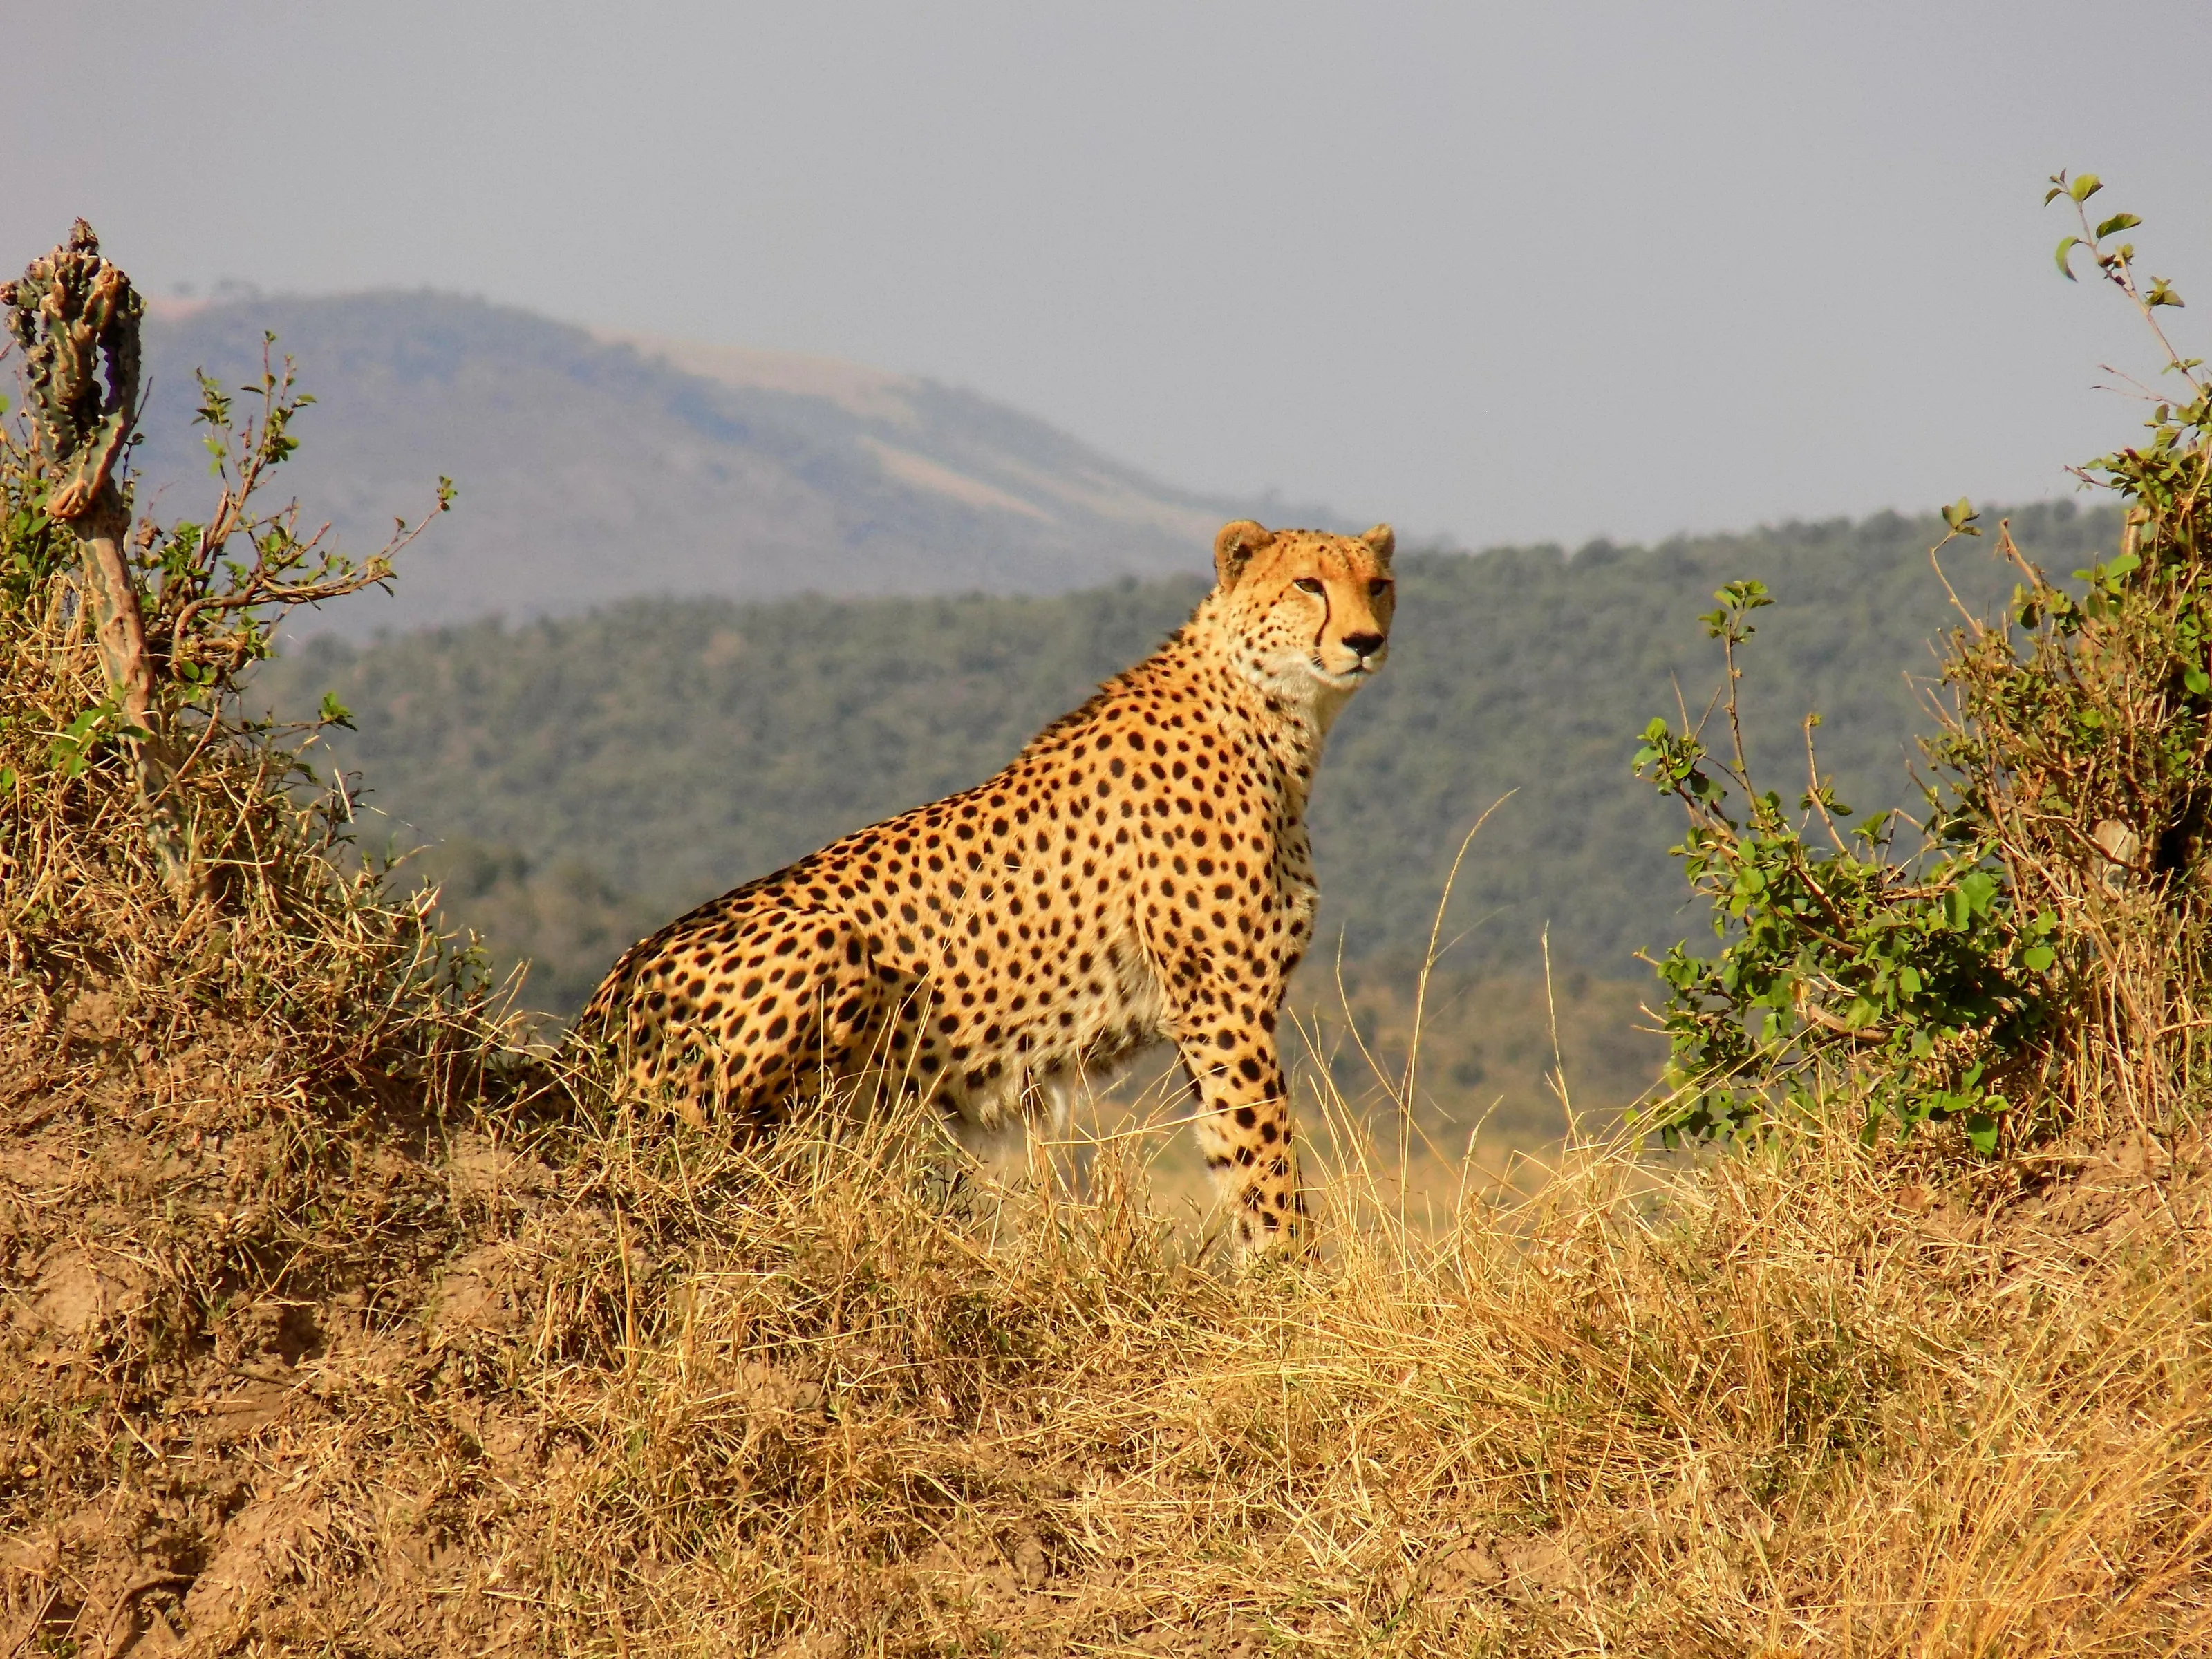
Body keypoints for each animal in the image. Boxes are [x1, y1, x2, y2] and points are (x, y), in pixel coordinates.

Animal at [571, 518, 1396, 1250]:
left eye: (1378, 585)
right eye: (1308, 584)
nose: (1365, 642)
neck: (1271, 712)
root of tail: (595, 1015)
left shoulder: (1214, 1011)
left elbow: (1234, 1153)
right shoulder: (1226, 1003)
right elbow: (1265, 1164)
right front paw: (1297, 1289)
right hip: (818, 949)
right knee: (701, 1159)